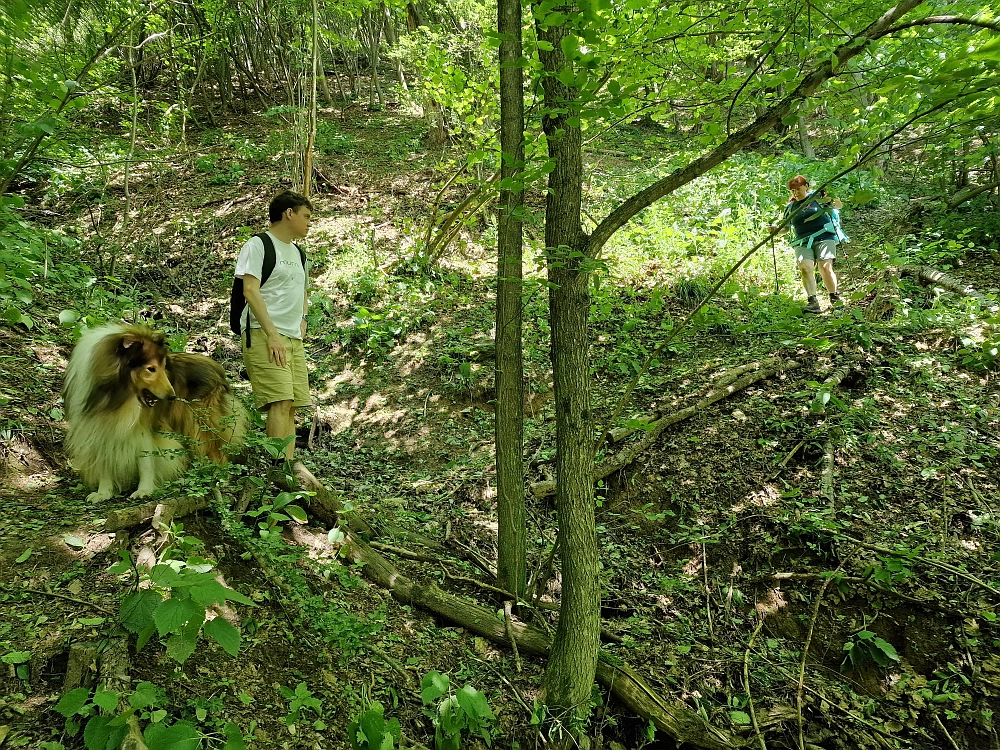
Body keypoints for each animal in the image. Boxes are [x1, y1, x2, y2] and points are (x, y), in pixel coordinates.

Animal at [63, 326, 247, 502]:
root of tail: (216, 366)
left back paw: (220, 477)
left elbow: (146, 461)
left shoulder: (145, 428)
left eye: (164, 367)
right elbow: (104, 462)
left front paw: (144, 490)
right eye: (151, 369)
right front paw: (103, 492)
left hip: (200, 425)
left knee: (215, 450)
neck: (115, 396)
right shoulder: (96, 428)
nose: (172, 397)